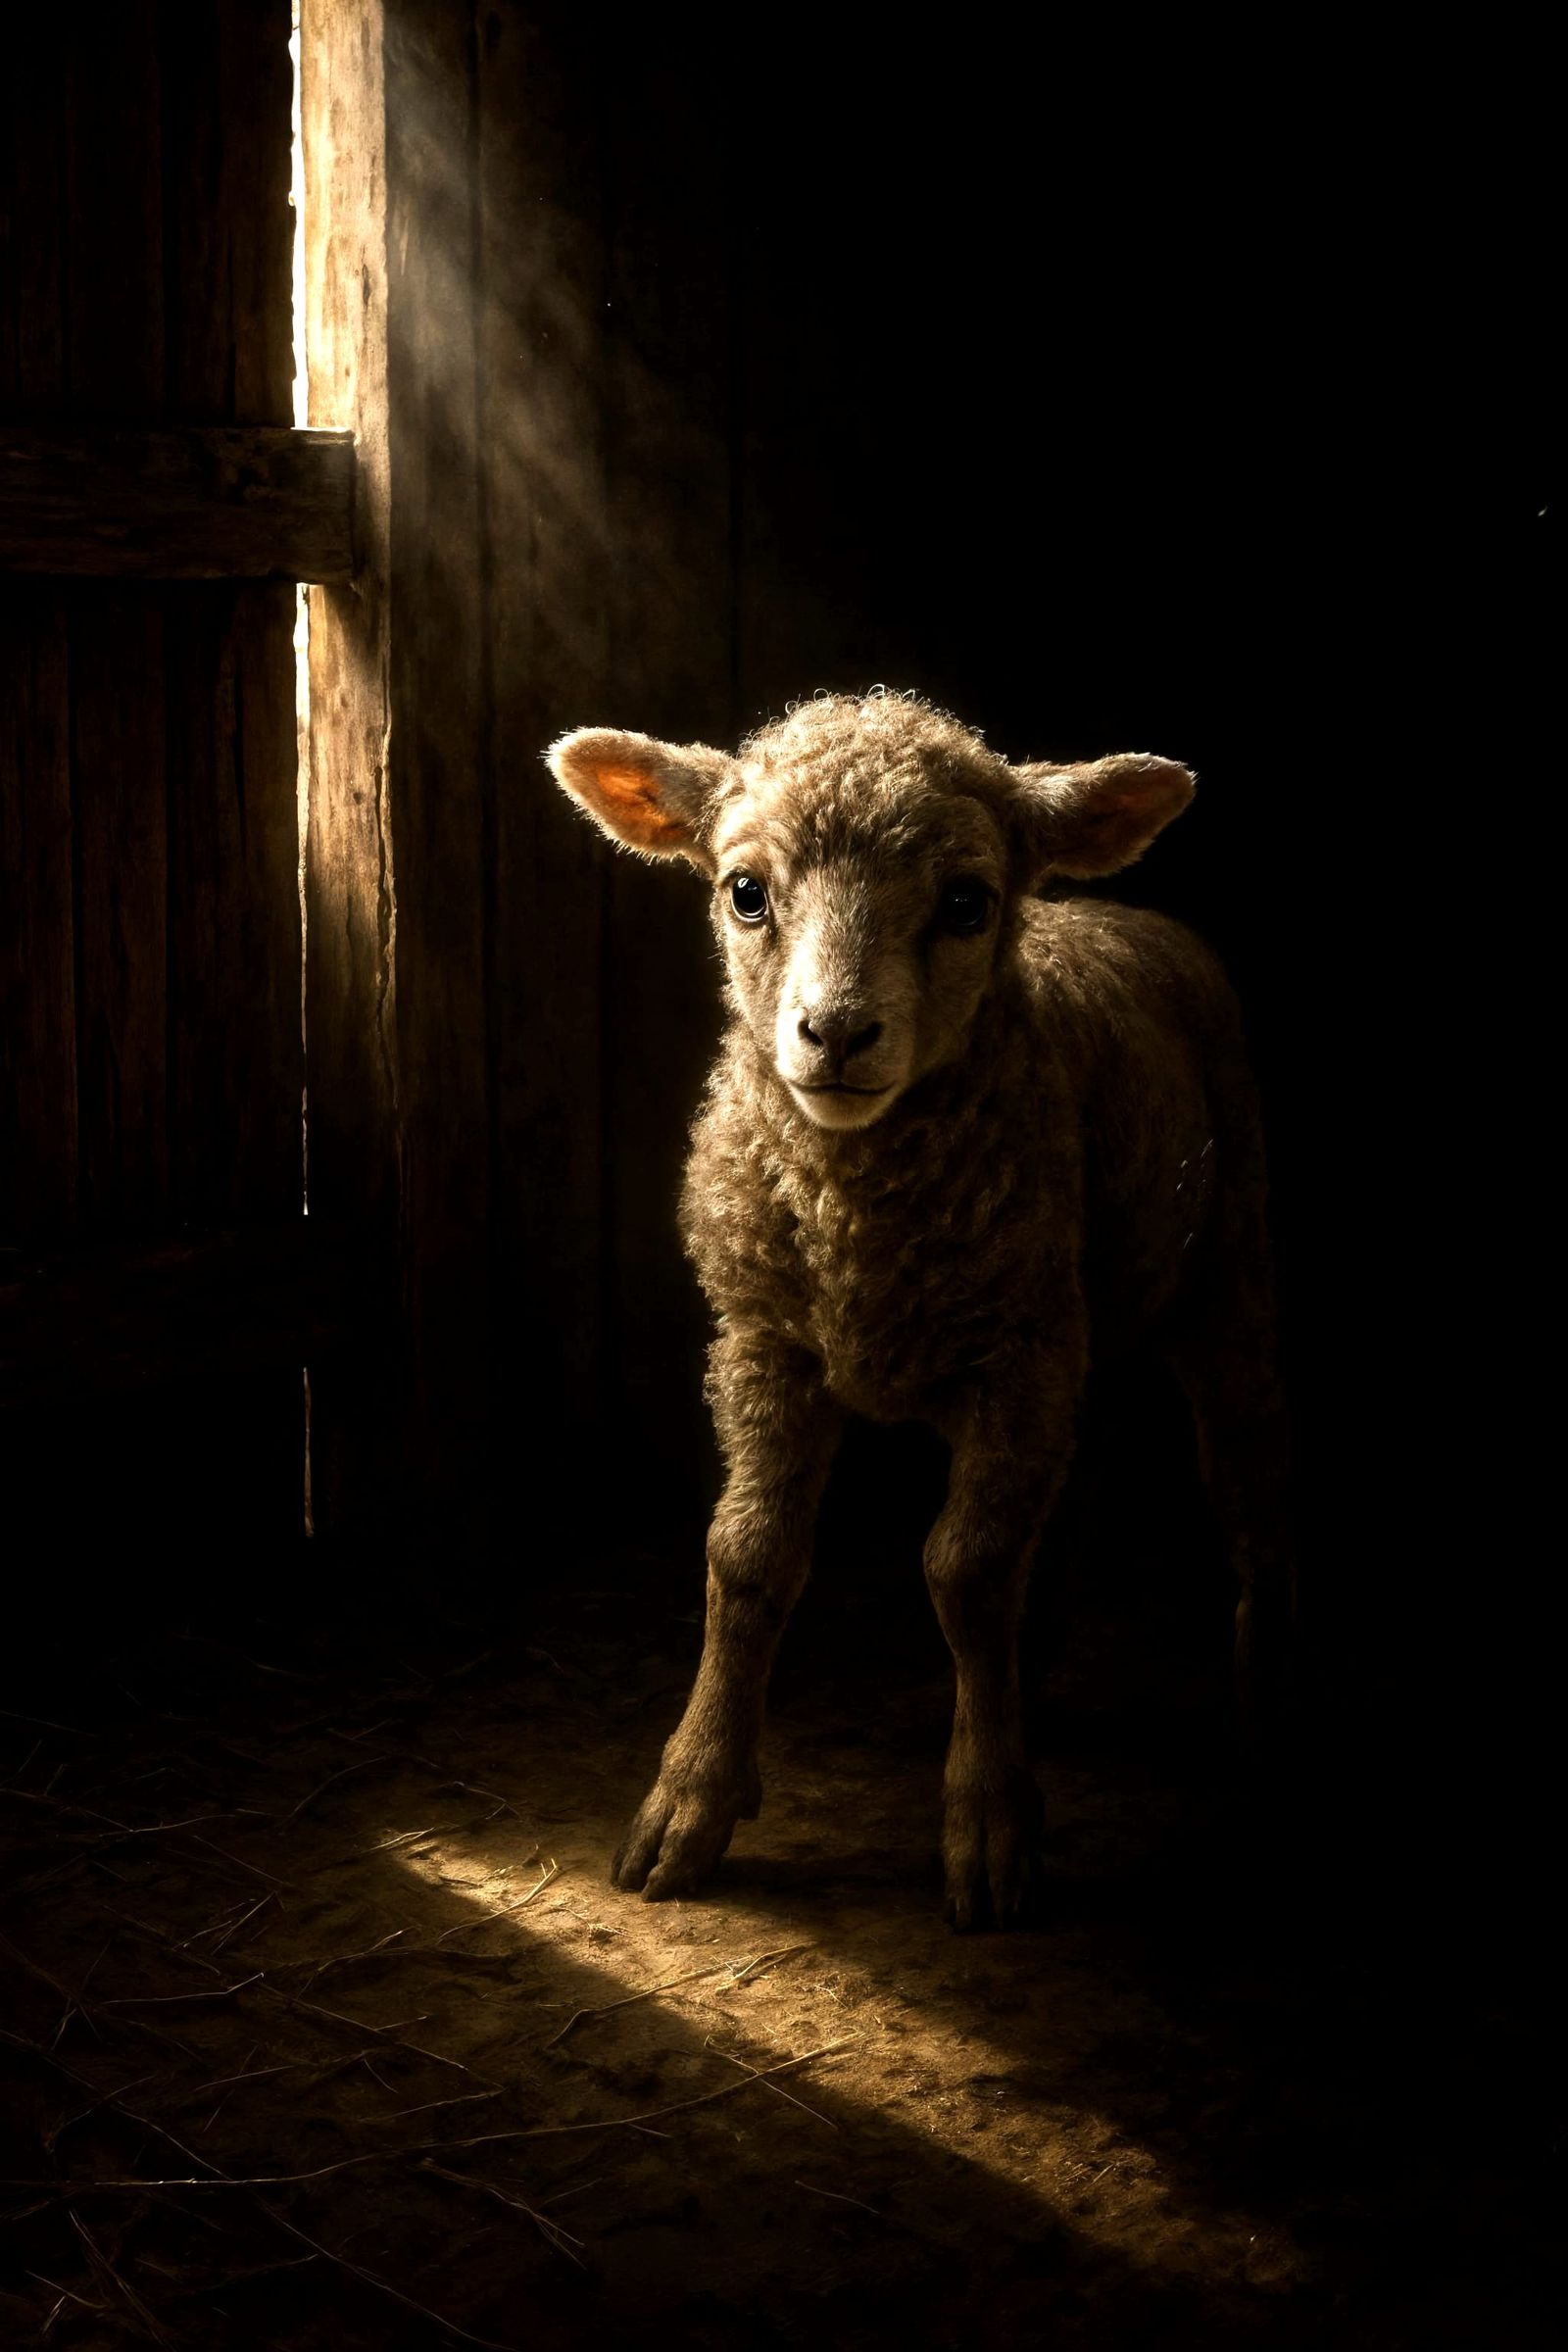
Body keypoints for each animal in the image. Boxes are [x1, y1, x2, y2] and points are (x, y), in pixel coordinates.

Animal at [547, 691, 1291, 1930]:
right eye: (743, 890)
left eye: (965, 903)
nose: (836, 1033)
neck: (853, 1215)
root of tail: (1118, 907)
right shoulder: (766, 1343)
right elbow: (748, 1556)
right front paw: (693, 1795)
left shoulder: (1017, 1358)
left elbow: (963, 1567)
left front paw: (987, 1817)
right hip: (1076, 1328)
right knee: (1069, 1490)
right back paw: (1033, 1667)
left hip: (1222, 1283)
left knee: (1242, 1501)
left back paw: (1256, 1713)